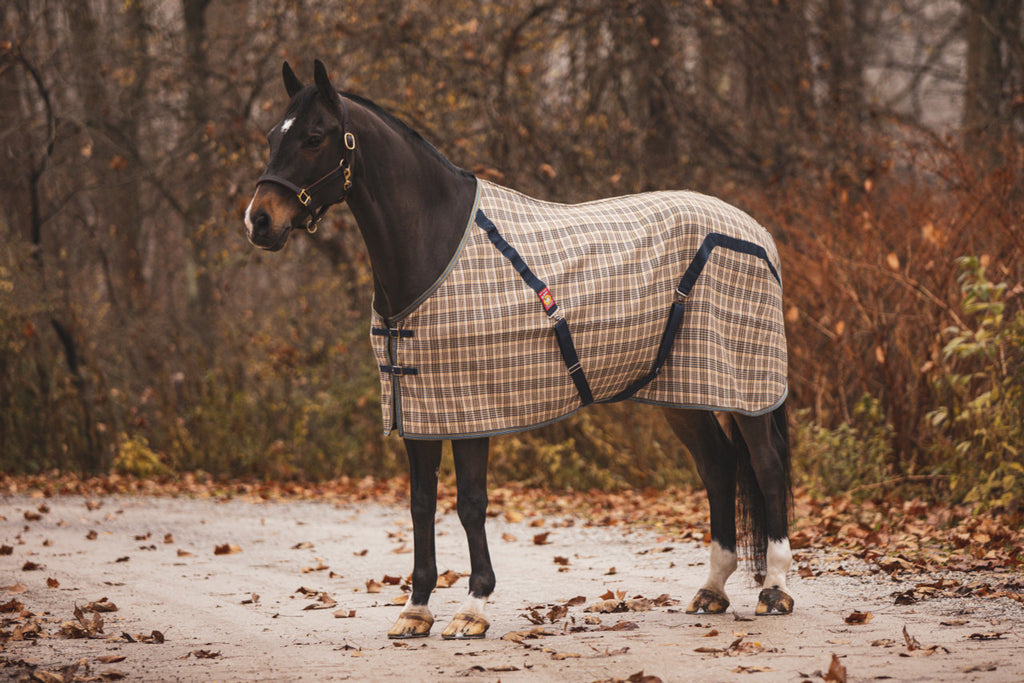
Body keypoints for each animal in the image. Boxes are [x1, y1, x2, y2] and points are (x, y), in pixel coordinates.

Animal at [243, 60, 794, 643]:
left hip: (747, 385)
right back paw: (711, 590)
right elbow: (420, 505)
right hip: (681, 392)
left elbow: (470, 504)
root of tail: (757, 232)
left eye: (314, 137)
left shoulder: (471, 411)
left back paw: (775, 590)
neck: (436, 245)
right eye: (271, 136)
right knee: (718, 466)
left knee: (766, 465)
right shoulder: (419, 409)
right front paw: (416, 610)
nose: (258, 221)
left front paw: (473, 608)